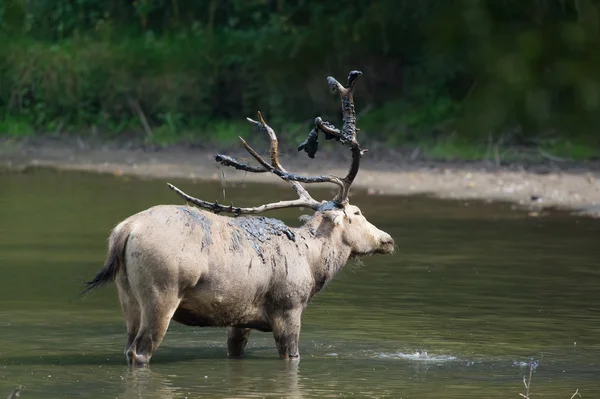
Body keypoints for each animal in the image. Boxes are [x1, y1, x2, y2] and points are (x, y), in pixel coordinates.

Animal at [83, 71, 394, 366]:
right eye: (357, 213)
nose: (387, 240)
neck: (312, 263)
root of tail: (124, 231)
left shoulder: (241, 319)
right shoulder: (288, 307)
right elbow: (292, 356)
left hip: (127, 296)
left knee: (128, 348)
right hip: (161, 292)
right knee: (140, 352)